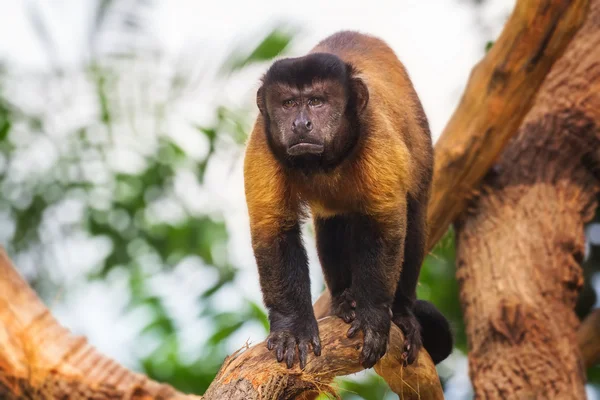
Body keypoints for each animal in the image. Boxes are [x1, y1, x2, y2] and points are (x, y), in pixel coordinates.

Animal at [241, 29, 452, 370]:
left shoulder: (376, 136)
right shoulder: (262, 142)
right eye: (288, 103)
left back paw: (402, 311)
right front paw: (292, 327)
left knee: (414, 219)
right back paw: (344, 299)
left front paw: (373, 315)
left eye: (317, 101)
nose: (301, 124)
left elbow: (385, 225)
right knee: (332, 223)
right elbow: (273, 229)